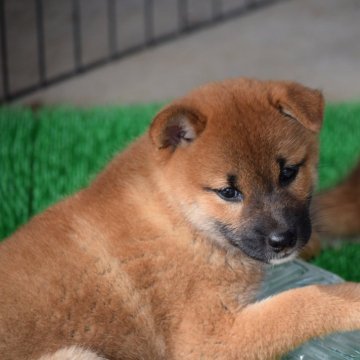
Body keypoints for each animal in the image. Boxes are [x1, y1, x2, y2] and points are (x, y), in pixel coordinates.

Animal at [0, 79, 360, 360]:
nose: (283, 240)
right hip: (77, 354)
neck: (179, 218)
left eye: (288, 173)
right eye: (228, 192)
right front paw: (352, 299)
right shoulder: (207, 340)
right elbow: (299, 302)